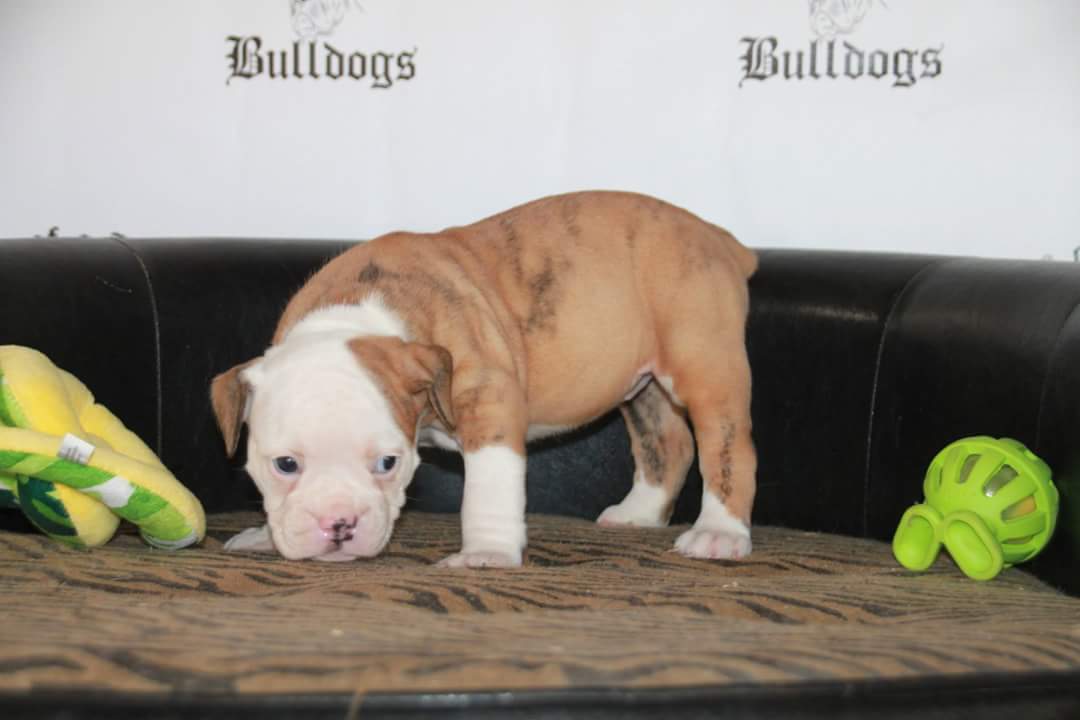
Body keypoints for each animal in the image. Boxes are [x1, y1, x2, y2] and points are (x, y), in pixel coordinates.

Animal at [210, 191, 758, 566]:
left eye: (388, 463)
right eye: (284, 465)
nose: (339, 523)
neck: (353, 316)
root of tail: (719, 238)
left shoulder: (488, 400)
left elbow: (489, 487)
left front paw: (487, 554)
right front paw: (266, 534)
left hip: (705, 363)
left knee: (726, 447)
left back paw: (719, 533)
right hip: (644, 385)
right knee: (666, 442)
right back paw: (638, 513)